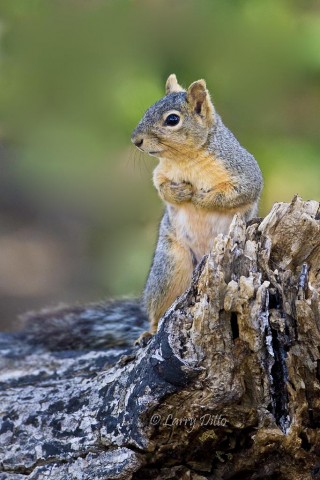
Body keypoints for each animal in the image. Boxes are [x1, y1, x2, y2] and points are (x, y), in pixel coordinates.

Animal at [131, 73, 262, 340]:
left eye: (172, 119)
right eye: (148, 108)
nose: (136, 141)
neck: (185, 158)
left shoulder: (244, 173)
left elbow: (237, 193)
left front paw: (201, 198)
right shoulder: (160, 173)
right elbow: (161, 188)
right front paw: (180, 192)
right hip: (170, 269)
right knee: (158, 312)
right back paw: (149, 333)